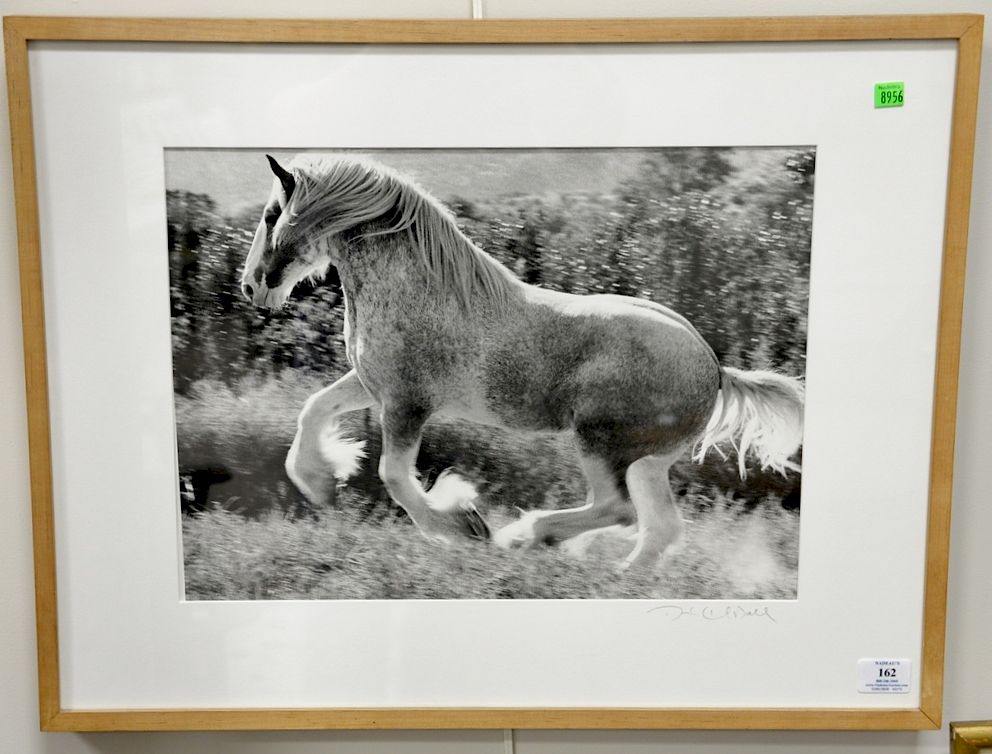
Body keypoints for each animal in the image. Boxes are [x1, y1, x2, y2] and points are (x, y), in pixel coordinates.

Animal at [242, 151, 808, 564]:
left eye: (272, 215)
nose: (251, 288)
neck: (416, 289)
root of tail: (715, 369)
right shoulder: (371, 383)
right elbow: (313, 409)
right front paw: (318, 481)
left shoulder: (407, 403)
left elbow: (395, 478)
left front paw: (463, 524)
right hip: (648, 461)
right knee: (659, 527)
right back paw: (617, 576)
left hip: (600, 442)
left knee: (618, 509)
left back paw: (526, 535)